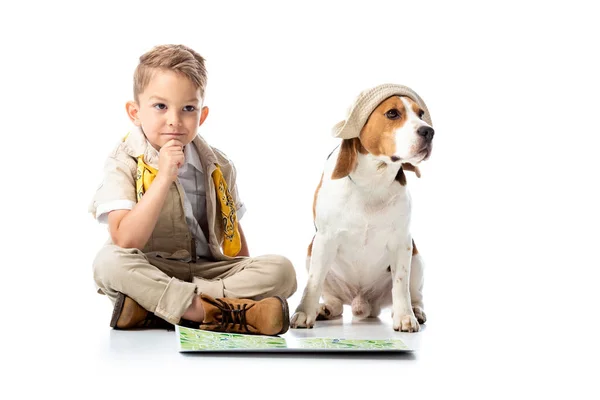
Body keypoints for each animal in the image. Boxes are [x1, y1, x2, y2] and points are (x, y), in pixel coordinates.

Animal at [290, 86, 434, 332]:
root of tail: (362, 302)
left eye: (421, 113)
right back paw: (323, 309)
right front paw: (304, 313)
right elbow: (314, 281)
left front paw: (405, 317)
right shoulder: (325, 238)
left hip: (416, 257)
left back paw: (414, 310)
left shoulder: (402, 242)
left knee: (414, 294)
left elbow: (400, 284)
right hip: (312, 250)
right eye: (393, 113)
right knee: (336, 303)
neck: (373, 180)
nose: (429, 131)